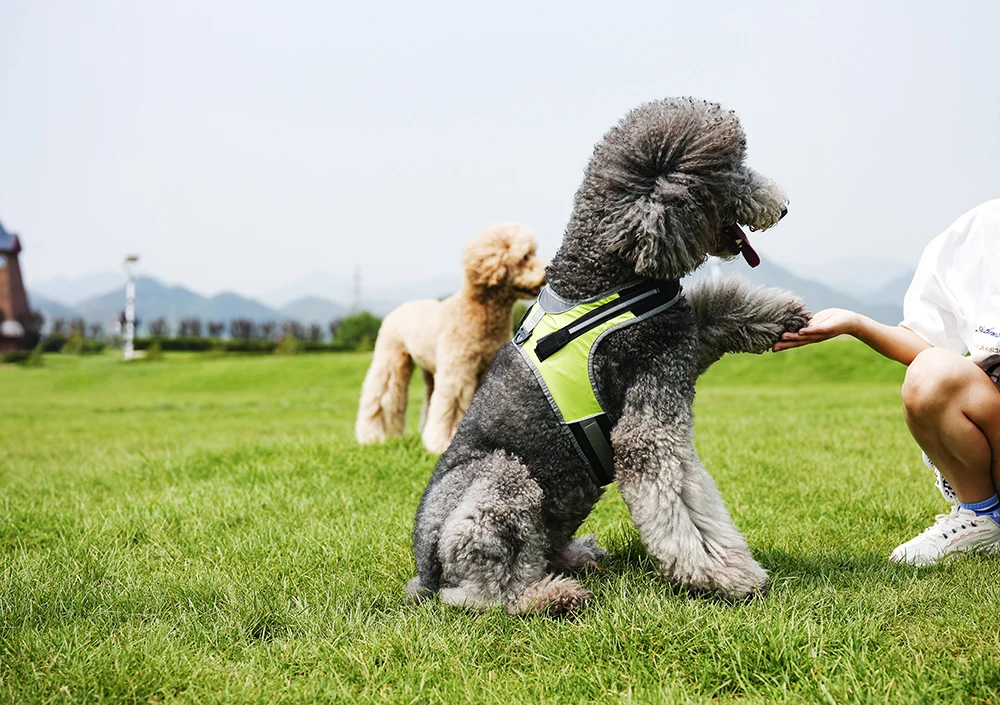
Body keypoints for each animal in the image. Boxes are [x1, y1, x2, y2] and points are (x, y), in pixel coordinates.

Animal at [356, 223, 547, 454]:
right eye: (524, 257)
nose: (547, 269)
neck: (478, 313)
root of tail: (399, 308)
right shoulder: (459, 371)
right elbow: (453, 407)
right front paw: (445, 442)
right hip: (392, 356)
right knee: (383, 395)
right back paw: (375, 436)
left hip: (430, 369)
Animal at [407, 98, 810, 615]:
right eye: (732, 171)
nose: (785, 205)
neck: (608, 275)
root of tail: (424, 573)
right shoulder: (650, 419)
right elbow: (685, 501)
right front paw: (726, 577)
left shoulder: (679, 336)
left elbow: (717, 305)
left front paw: (783, 315)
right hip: (501, 480)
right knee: (479, 593)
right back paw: (547, 596)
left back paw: (576, 558)